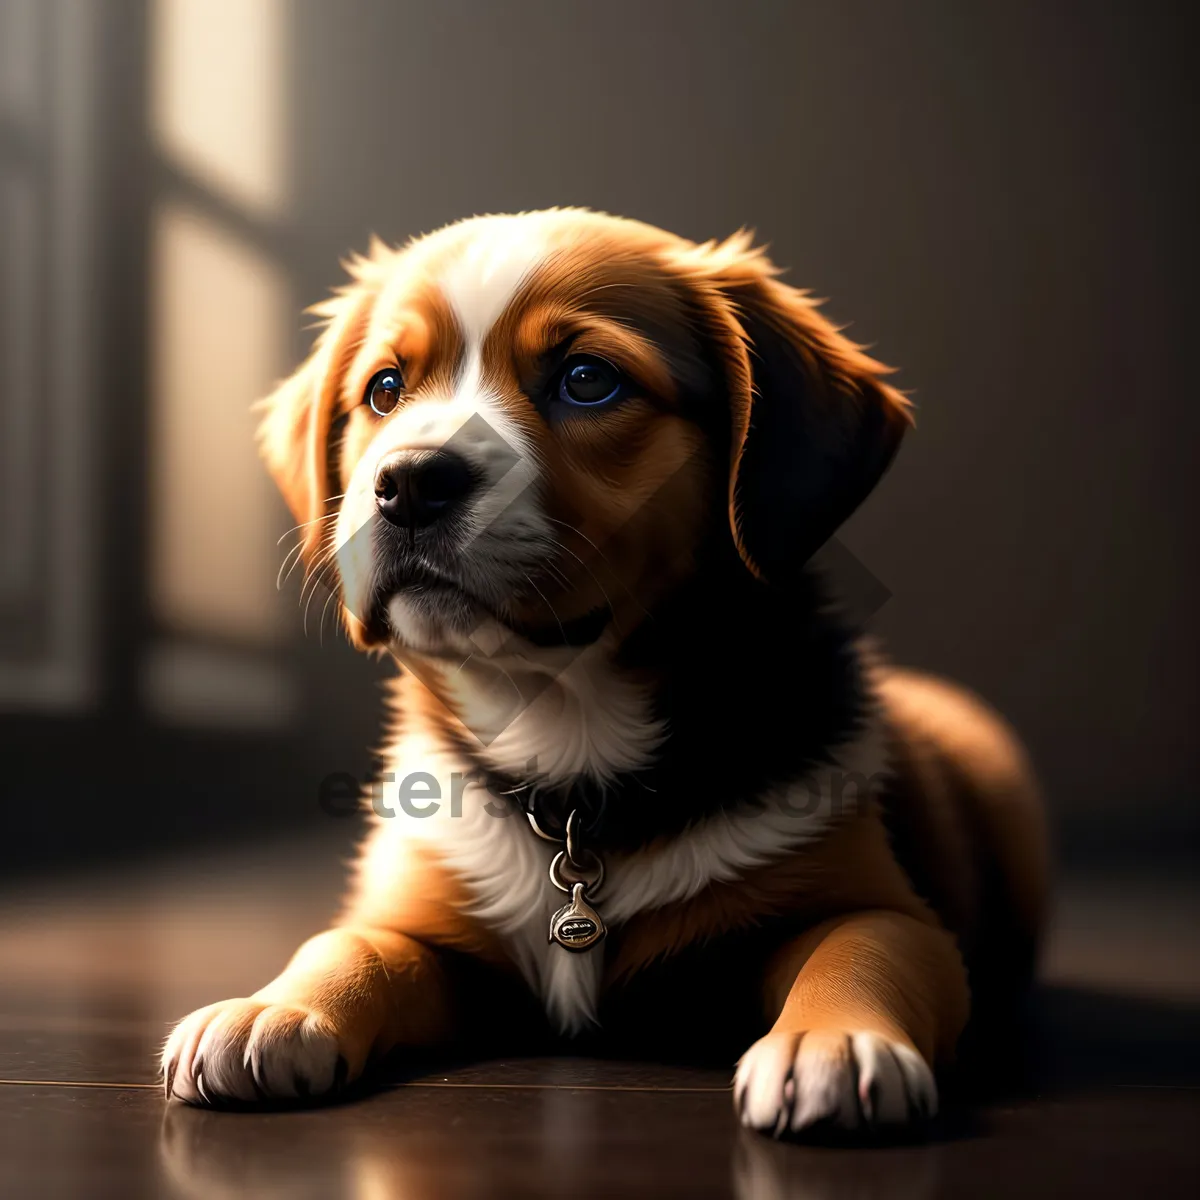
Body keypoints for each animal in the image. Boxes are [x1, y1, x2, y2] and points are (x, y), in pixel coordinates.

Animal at [162, 206, 1051, 1132]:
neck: (567, 729)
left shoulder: (875, 902)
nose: (406, 483)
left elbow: (863, 949)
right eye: (383, 390)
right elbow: (348, 943)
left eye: (587, 380)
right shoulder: (424, 914)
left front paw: (837, 1041)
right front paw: (272, 1008)